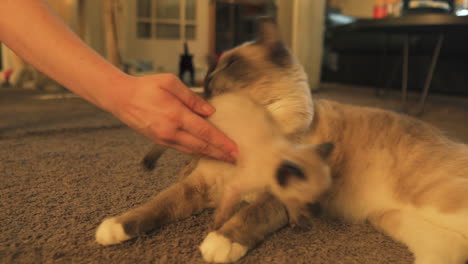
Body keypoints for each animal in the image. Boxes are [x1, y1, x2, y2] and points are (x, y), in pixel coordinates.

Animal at [95, 19, 468, 264]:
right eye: (214, 69)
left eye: (230, 64)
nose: (207, 79)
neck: (246, 136)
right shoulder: (200, 186)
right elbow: (157, 205)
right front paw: (114, 228)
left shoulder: (280, 196)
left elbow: (248, 216)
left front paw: (218, 243)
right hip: (409, 229)